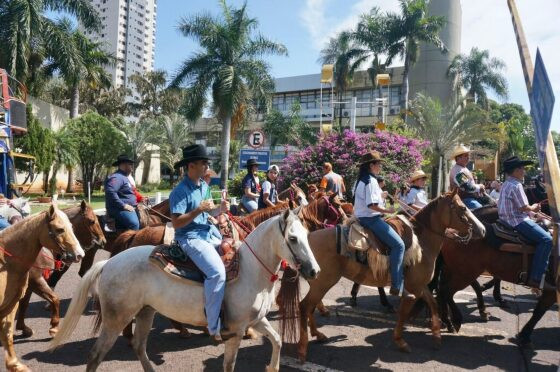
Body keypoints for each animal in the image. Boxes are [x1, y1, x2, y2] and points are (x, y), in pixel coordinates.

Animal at [0, 205, 84, 370]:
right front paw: (53, 328)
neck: (6, 263)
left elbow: (8, 331)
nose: (79, 255)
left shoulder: (12, 302)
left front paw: (15, 365)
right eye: (59, 229)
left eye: (71, 227)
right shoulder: (36, 281)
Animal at [15, 202, 105, 338]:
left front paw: (23, 328)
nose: (102, 241)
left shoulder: (30, 282)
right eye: (91, 221)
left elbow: (24, 303)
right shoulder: (35, 280)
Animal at [50, 208, 322, 370]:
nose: (314, 271)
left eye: (308, 234)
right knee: (96, 355)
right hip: (116, 318)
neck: (250, 271)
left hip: (146, 312)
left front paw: (272, 366)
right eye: (293, 238)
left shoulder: (257, 320)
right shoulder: (235, 331)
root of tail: (108, 263)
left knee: (139, 346)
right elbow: (229, 365)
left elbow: (276, 340)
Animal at [294, 190, 486, 362]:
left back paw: (318, 334)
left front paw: (437, 337)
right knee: (304, 306)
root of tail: (308, 238)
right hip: (324, 282)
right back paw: (302, 350)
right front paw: (401, 341)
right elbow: (404, 313)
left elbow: (432, 304)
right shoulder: (412, 289)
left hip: (318, 282)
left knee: (310, 306)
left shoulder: (420, 286)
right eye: (462, 208)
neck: (422, 242)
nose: (482, 229)